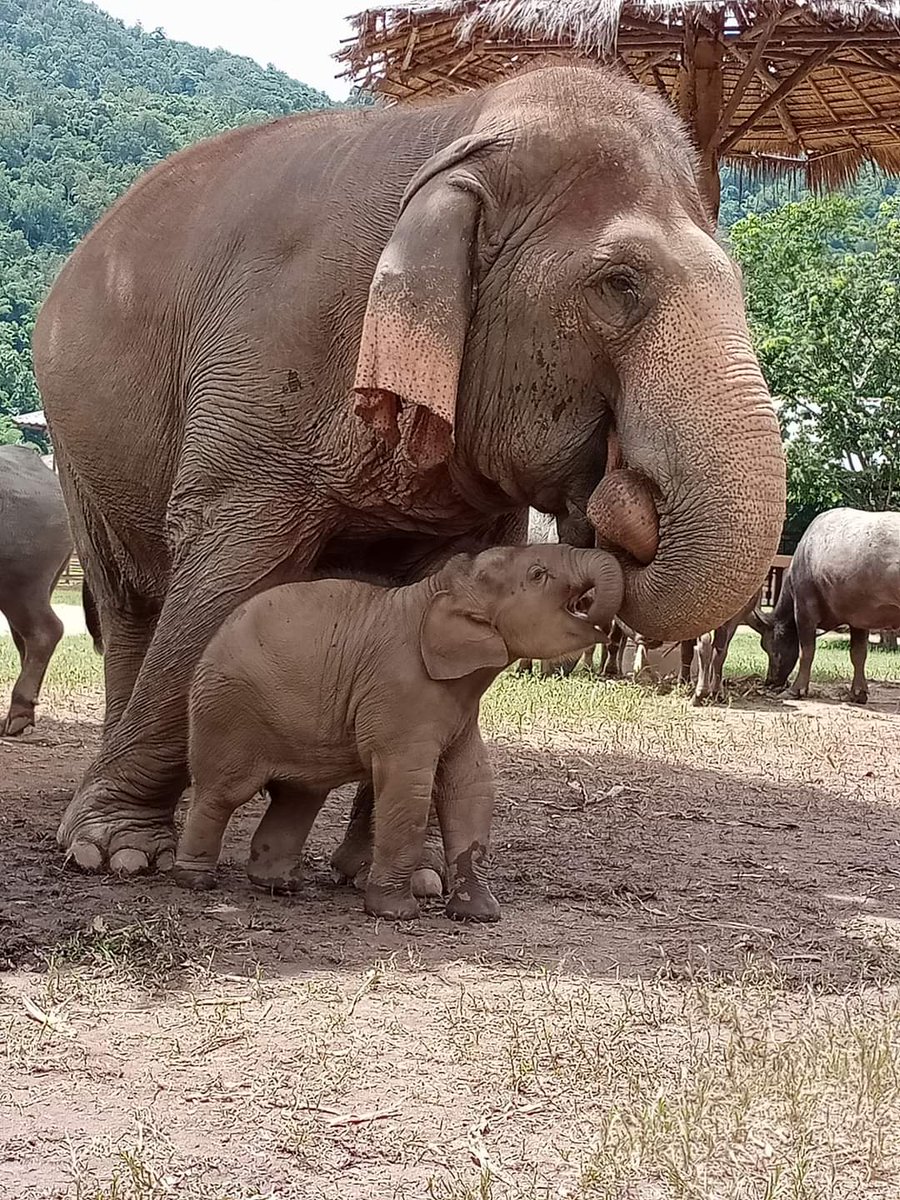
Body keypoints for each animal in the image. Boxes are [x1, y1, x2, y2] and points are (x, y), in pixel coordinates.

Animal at [33, 62, 786, 876]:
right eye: (620, 284)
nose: (624, 493)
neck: (460, 128)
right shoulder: (260, 389)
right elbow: (223, 577)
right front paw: (115, 853)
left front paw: (400, 869)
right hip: (75, 450)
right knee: (131, 603)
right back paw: (113, 831)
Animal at [173, 544, 623, 921]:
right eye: (538, 574)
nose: (600, 619)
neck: (441, 589)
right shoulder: (399, 690)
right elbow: (410, 787)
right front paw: (396, 914)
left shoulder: (458, 708)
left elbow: (471, 785)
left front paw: (480, 915)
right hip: (226, 713)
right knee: (223, 794)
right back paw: (196, 880)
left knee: (300, 796)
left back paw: (281, 885)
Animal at [759, 508, 900, 704]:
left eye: (768, 647)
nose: (770, 681)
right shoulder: (859, 619)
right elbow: (858, 654)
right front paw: (858, 693)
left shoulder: (804, 611)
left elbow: (807, 651)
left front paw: (795, 690)